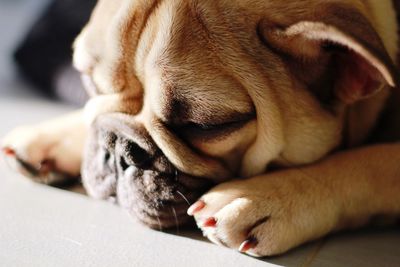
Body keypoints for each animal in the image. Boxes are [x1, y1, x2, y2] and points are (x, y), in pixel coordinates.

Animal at [2, 0, 400, 258]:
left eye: (204, 125)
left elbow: (372, 161)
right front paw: (52, 136)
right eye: (89, 82)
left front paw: (263, 196)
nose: (117, 149)